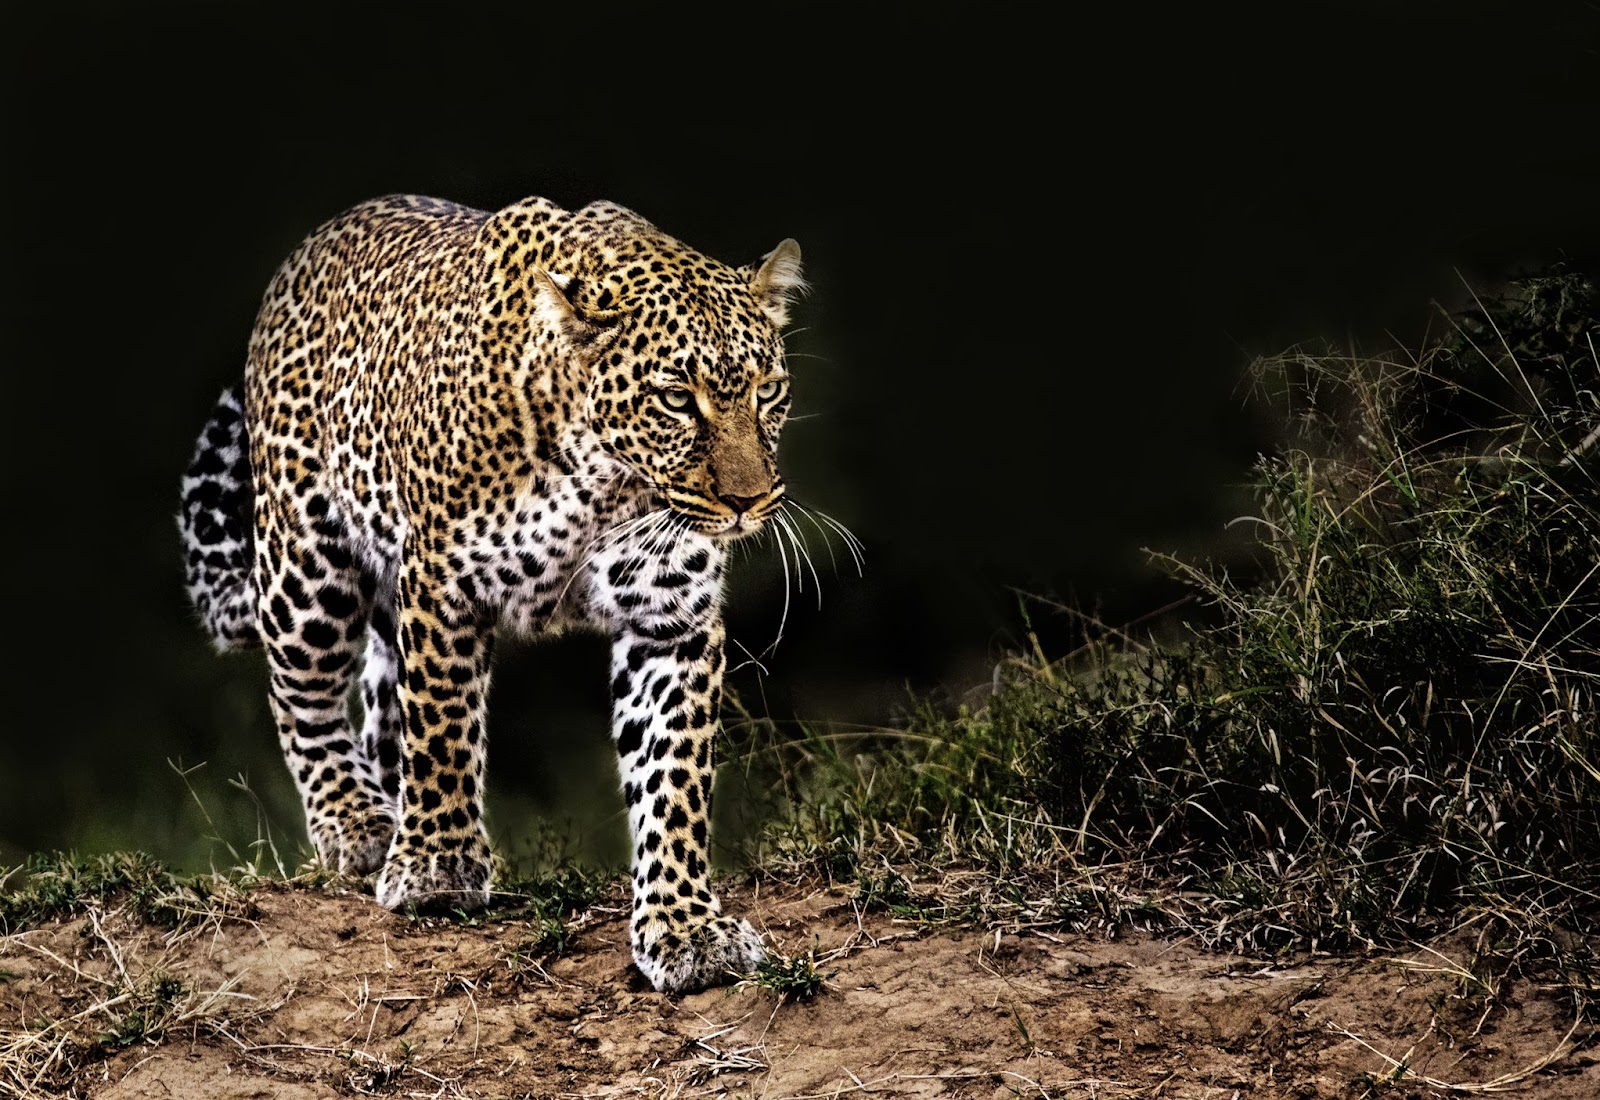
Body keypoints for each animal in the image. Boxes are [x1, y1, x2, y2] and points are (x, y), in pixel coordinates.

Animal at [178, 193, 810, 993]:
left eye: (769, 391)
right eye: (675, 399)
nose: (748, 502)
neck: (604, 479)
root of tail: (311, 246)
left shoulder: (670, 614)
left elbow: (673, 776)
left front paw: (685, 927)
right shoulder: (441, 581)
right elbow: (444, 728)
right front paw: (437, 869)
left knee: (382, 709)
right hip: (306, 562)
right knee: (303, 696)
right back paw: (360, 823)